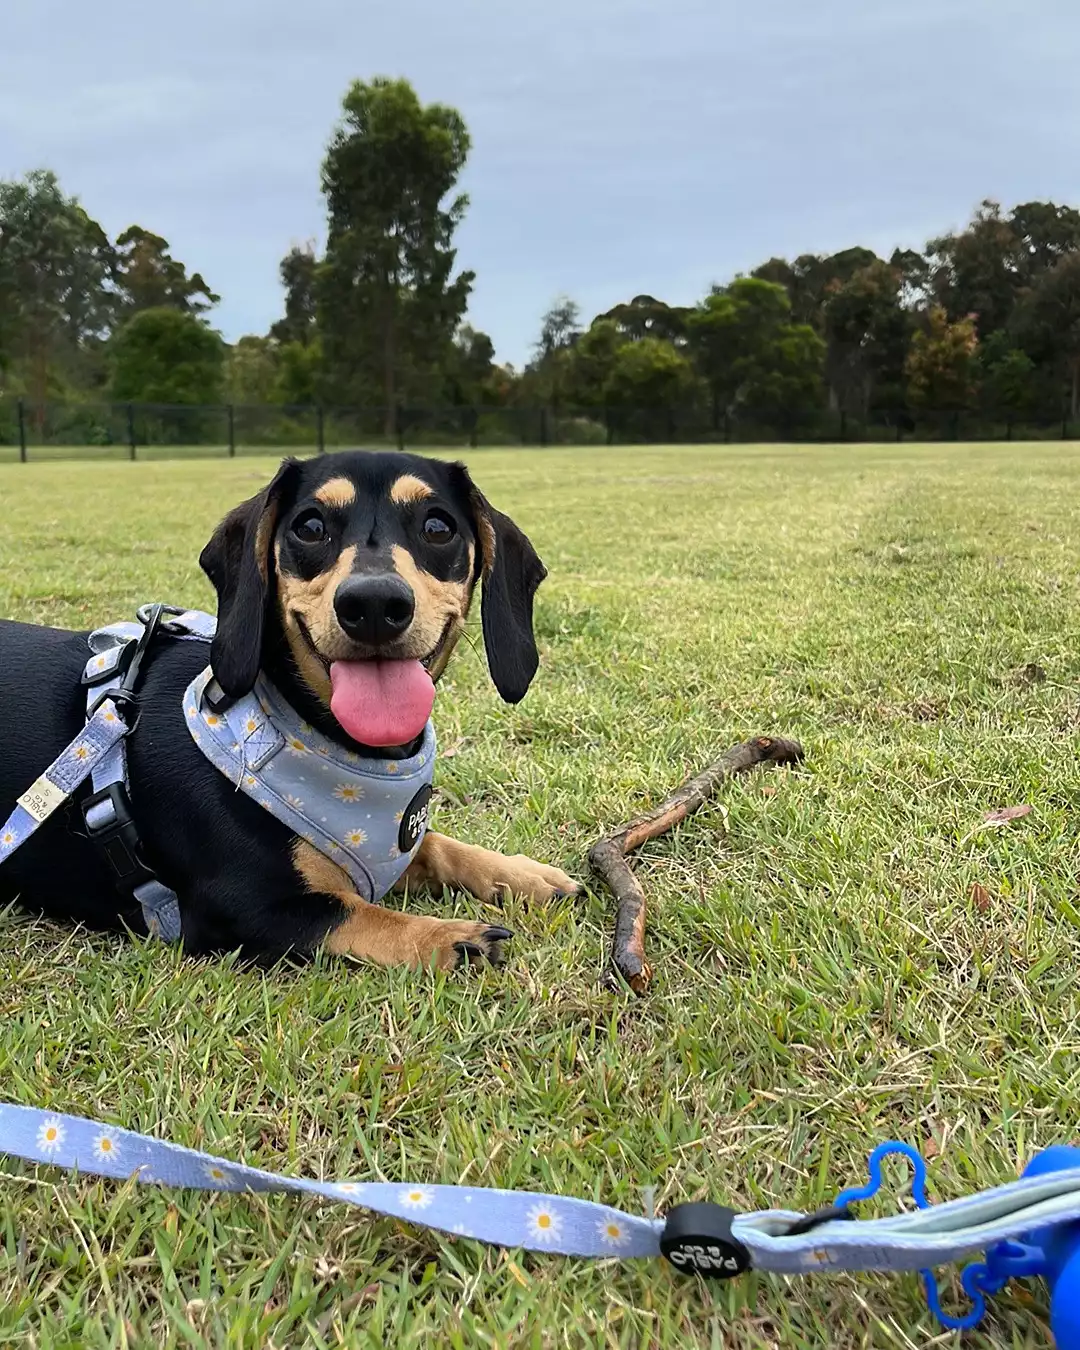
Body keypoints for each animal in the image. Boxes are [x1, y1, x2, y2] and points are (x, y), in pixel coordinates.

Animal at [0, 451, 578, 969]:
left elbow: (435, 846)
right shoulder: (242, 909)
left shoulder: (392, 851)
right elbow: (361, 915)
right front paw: (447, 938)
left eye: (438, 527)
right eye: (310, 526)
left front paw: (521, 875)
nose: (373, 604)